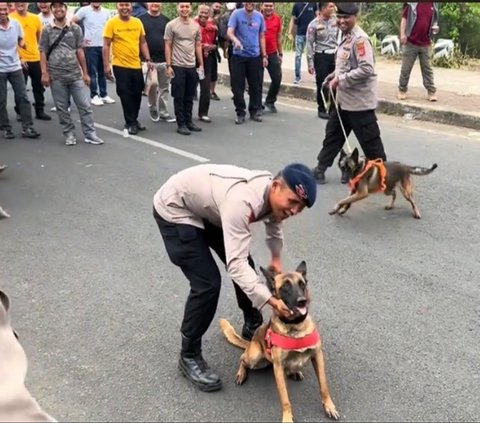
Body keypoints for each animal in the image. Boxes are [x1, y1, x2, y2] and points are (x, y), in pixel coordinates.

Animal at [219, 262, 340, 423]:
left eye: (302, 284)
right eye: (285, 286)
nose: (302, 301)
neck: (295, 326)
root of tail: (251, 342)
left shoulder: (317, 356)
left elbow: (324, 386)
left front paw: (329, 406)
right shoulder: (278, 367)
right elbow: (285, 399)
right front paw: (287, 417)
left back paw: (294, 372)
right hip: (255, 356)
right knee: (243, 358)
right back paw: (241, 373)